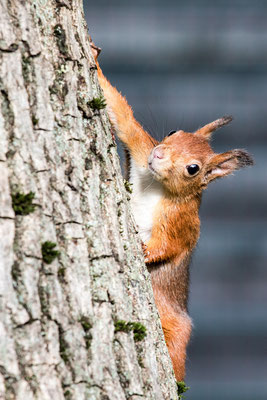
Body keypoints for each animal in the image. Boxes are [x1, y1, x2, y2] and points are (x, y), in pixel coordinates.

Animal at [91, 42, 254, 380]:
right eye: (174, 132)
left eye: (193, 169)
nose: (158, 154)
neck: (157, 185)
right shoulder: (140, 151)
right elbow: (123, 118)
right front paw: (95, 58)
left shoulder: (184, 219)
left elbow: (172, 244)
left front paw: (143, 251)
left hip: (176, 330)